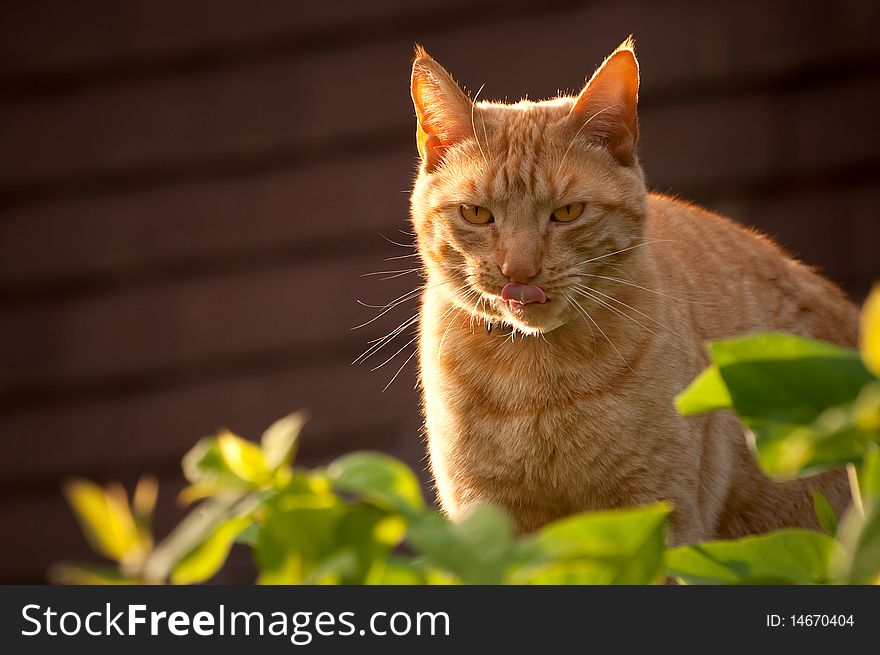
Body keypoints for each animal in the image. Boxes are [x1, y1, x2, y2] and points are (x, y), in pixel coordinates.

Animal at [408, 38, 860, 544]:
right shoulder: (490, 527)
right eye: (477, 214)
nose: (519, 272)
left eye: (568, 212)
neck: (536, 382)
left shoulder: (654, 516)